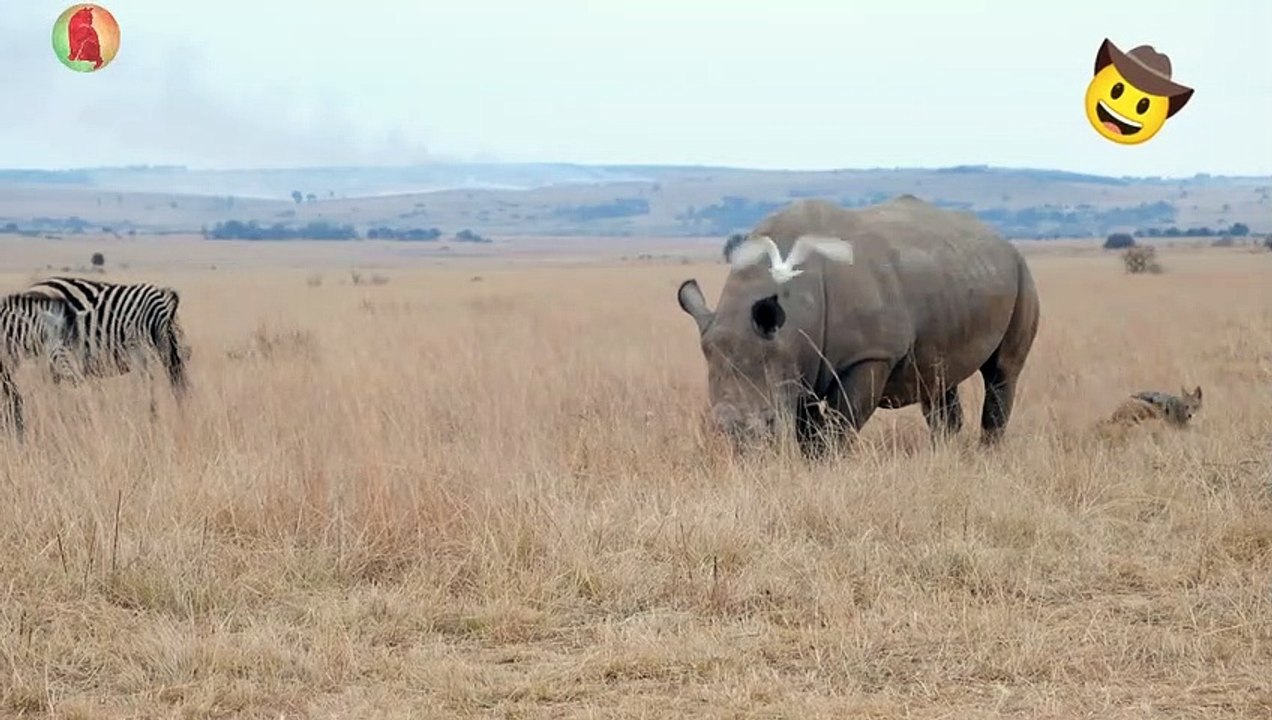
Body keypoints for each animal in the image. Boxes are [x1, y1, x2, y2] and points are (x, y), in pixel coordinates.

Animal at [676, 196, 1041, 453]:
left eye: (770, 421)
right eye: (715, 426)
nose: (748, 460)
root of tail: (1001, 239)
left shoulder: (870, 355)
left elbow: (841, 422)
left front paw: (827, 466)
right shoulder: (798, 360)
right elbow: (808, 429)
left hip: (1021, 272)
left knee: (1002, 372)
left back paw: (987, 455)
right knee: (938, 378)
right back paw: (945, 456)